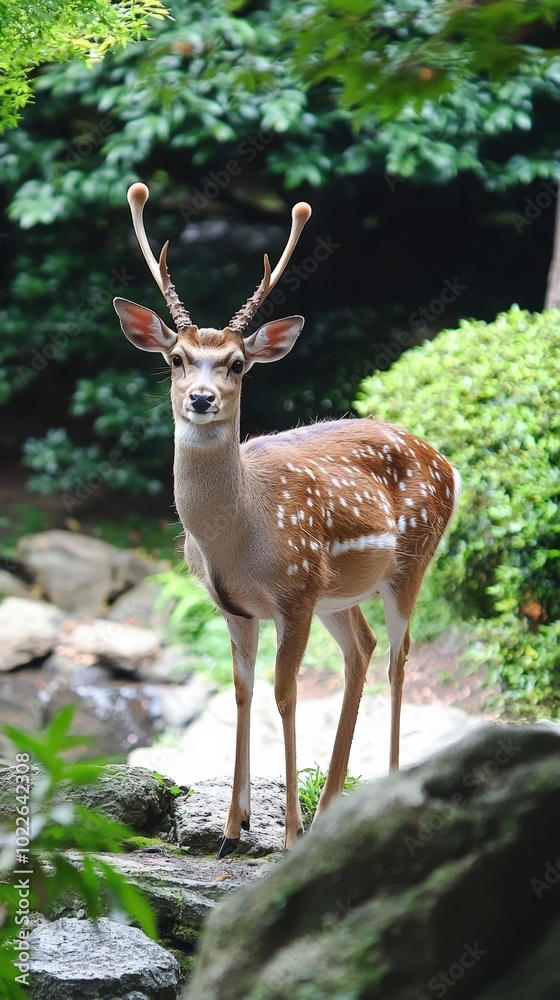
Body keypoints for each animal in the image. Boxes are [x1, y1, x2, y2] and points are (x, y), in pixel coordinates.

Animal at [113, 183, 461, 858]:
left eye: (237, 364)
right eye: (177, 358)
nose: (201, 399)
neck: (238, 538)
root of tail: (447, 463)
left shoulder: (295, 593)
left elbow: (285, 692)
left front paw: (287, 833)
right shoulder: (233, 604)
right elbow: (243, 690)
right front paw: (232, 827)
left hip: (412, 559)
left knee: (397, 657)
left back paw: (383, 792)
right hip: (339, 592)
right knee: (362, 649)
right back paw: (331, 806)